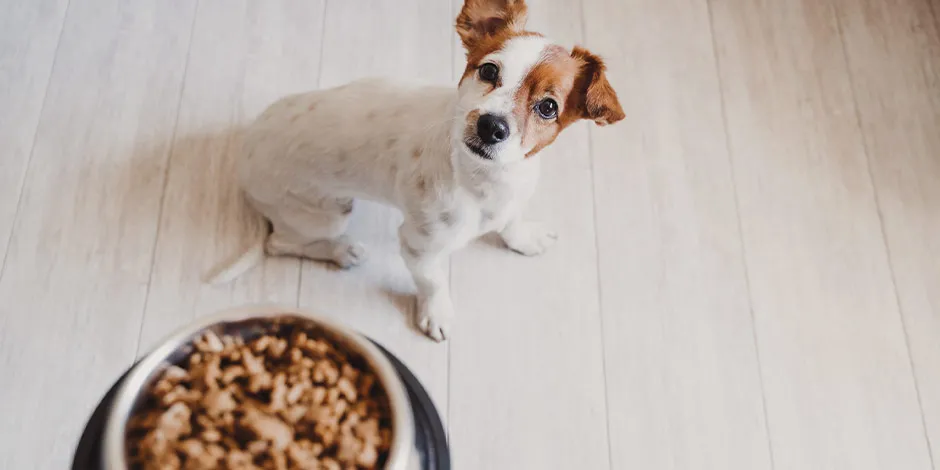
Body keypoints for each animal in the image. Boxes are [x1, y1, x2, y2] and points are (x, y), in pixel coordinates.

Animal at [211, 0, 624, 340]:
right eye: (489, 70)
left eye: (548, 107)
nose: (491, 126)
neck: (485, 182)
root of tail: (245, 150)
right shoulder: (418, 246)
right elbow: (433, 282)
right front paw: (436, 313)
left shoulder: (514, 200)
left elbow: (512, 222)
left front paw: (523, 238)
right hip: (325, 215)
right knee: (279, 243)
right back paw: (340, 251)